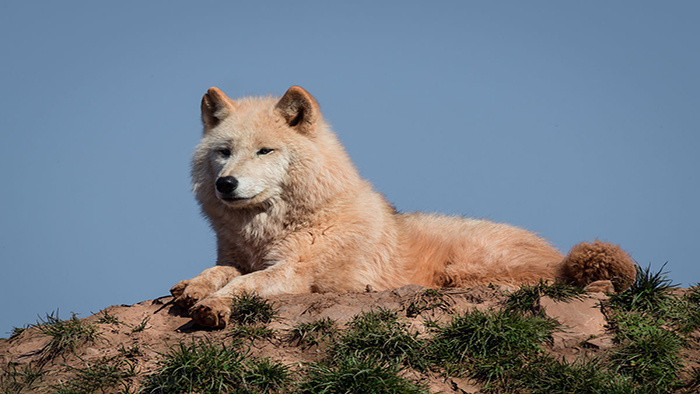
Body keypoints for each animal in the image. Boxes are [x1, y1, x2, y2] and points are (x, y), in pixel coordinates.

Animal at [170, 87, 636, 330]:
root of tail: (561, 258)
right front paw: (192, 287)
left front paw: (213, 306)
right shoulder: (237, 257)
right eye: (224, 152)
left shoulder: (295, 273)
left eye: (265, 150)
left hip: (464, 269)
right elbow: (221, 271)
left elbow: (244, 285)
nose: (225, 184)